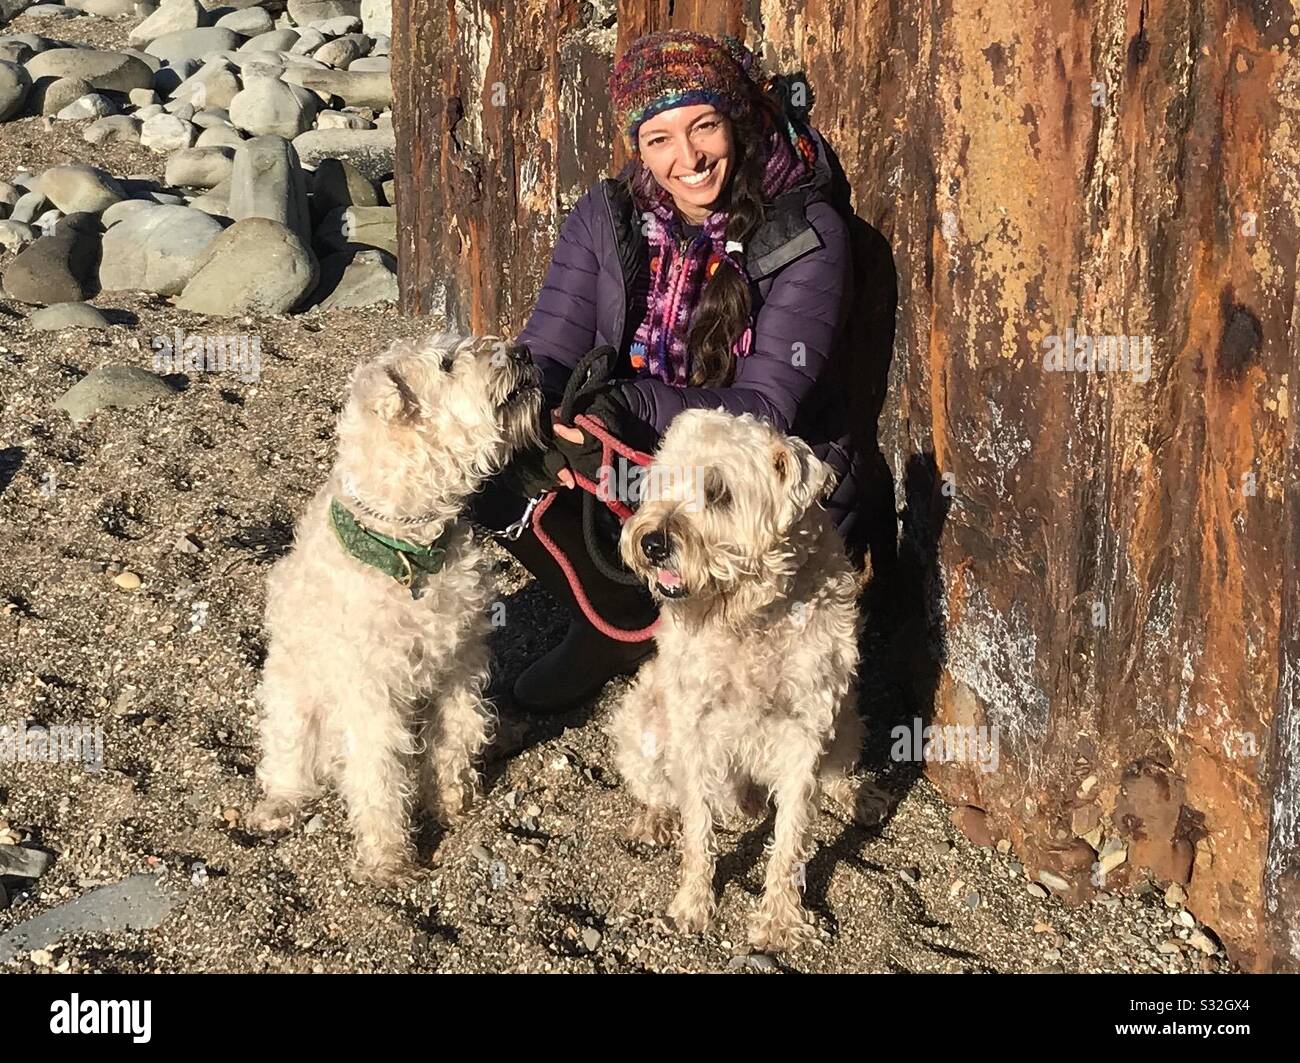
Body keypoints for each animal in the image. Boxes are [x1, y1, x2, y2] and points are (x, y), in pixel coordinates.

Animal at [245, 328, 540, 878]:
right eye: (446, 363)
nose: (524, 351)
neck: (412, 549)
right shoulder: (371, 690)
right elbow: (379, 771)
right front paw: (389, 858)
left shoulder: (460, 663)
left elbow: (458, 734)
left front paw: (451, 802)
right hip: (292, 700)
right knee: (287, 760)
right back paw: (278, 806)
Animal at [611, 410, 873, 946]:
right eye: (663, 481)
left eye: (720, 493)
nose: (651, 542)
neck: (751, 617)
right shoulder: (693, 722)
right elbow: (697, 827)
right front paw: (692, 905)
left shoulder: (806, 726)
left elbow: (792, 833)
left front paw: (780, 920)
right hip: (643, 719)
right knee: (657, 786)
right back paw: (657, 818)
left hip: (847, 719)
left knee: (836, 770)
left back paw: (856, 795)